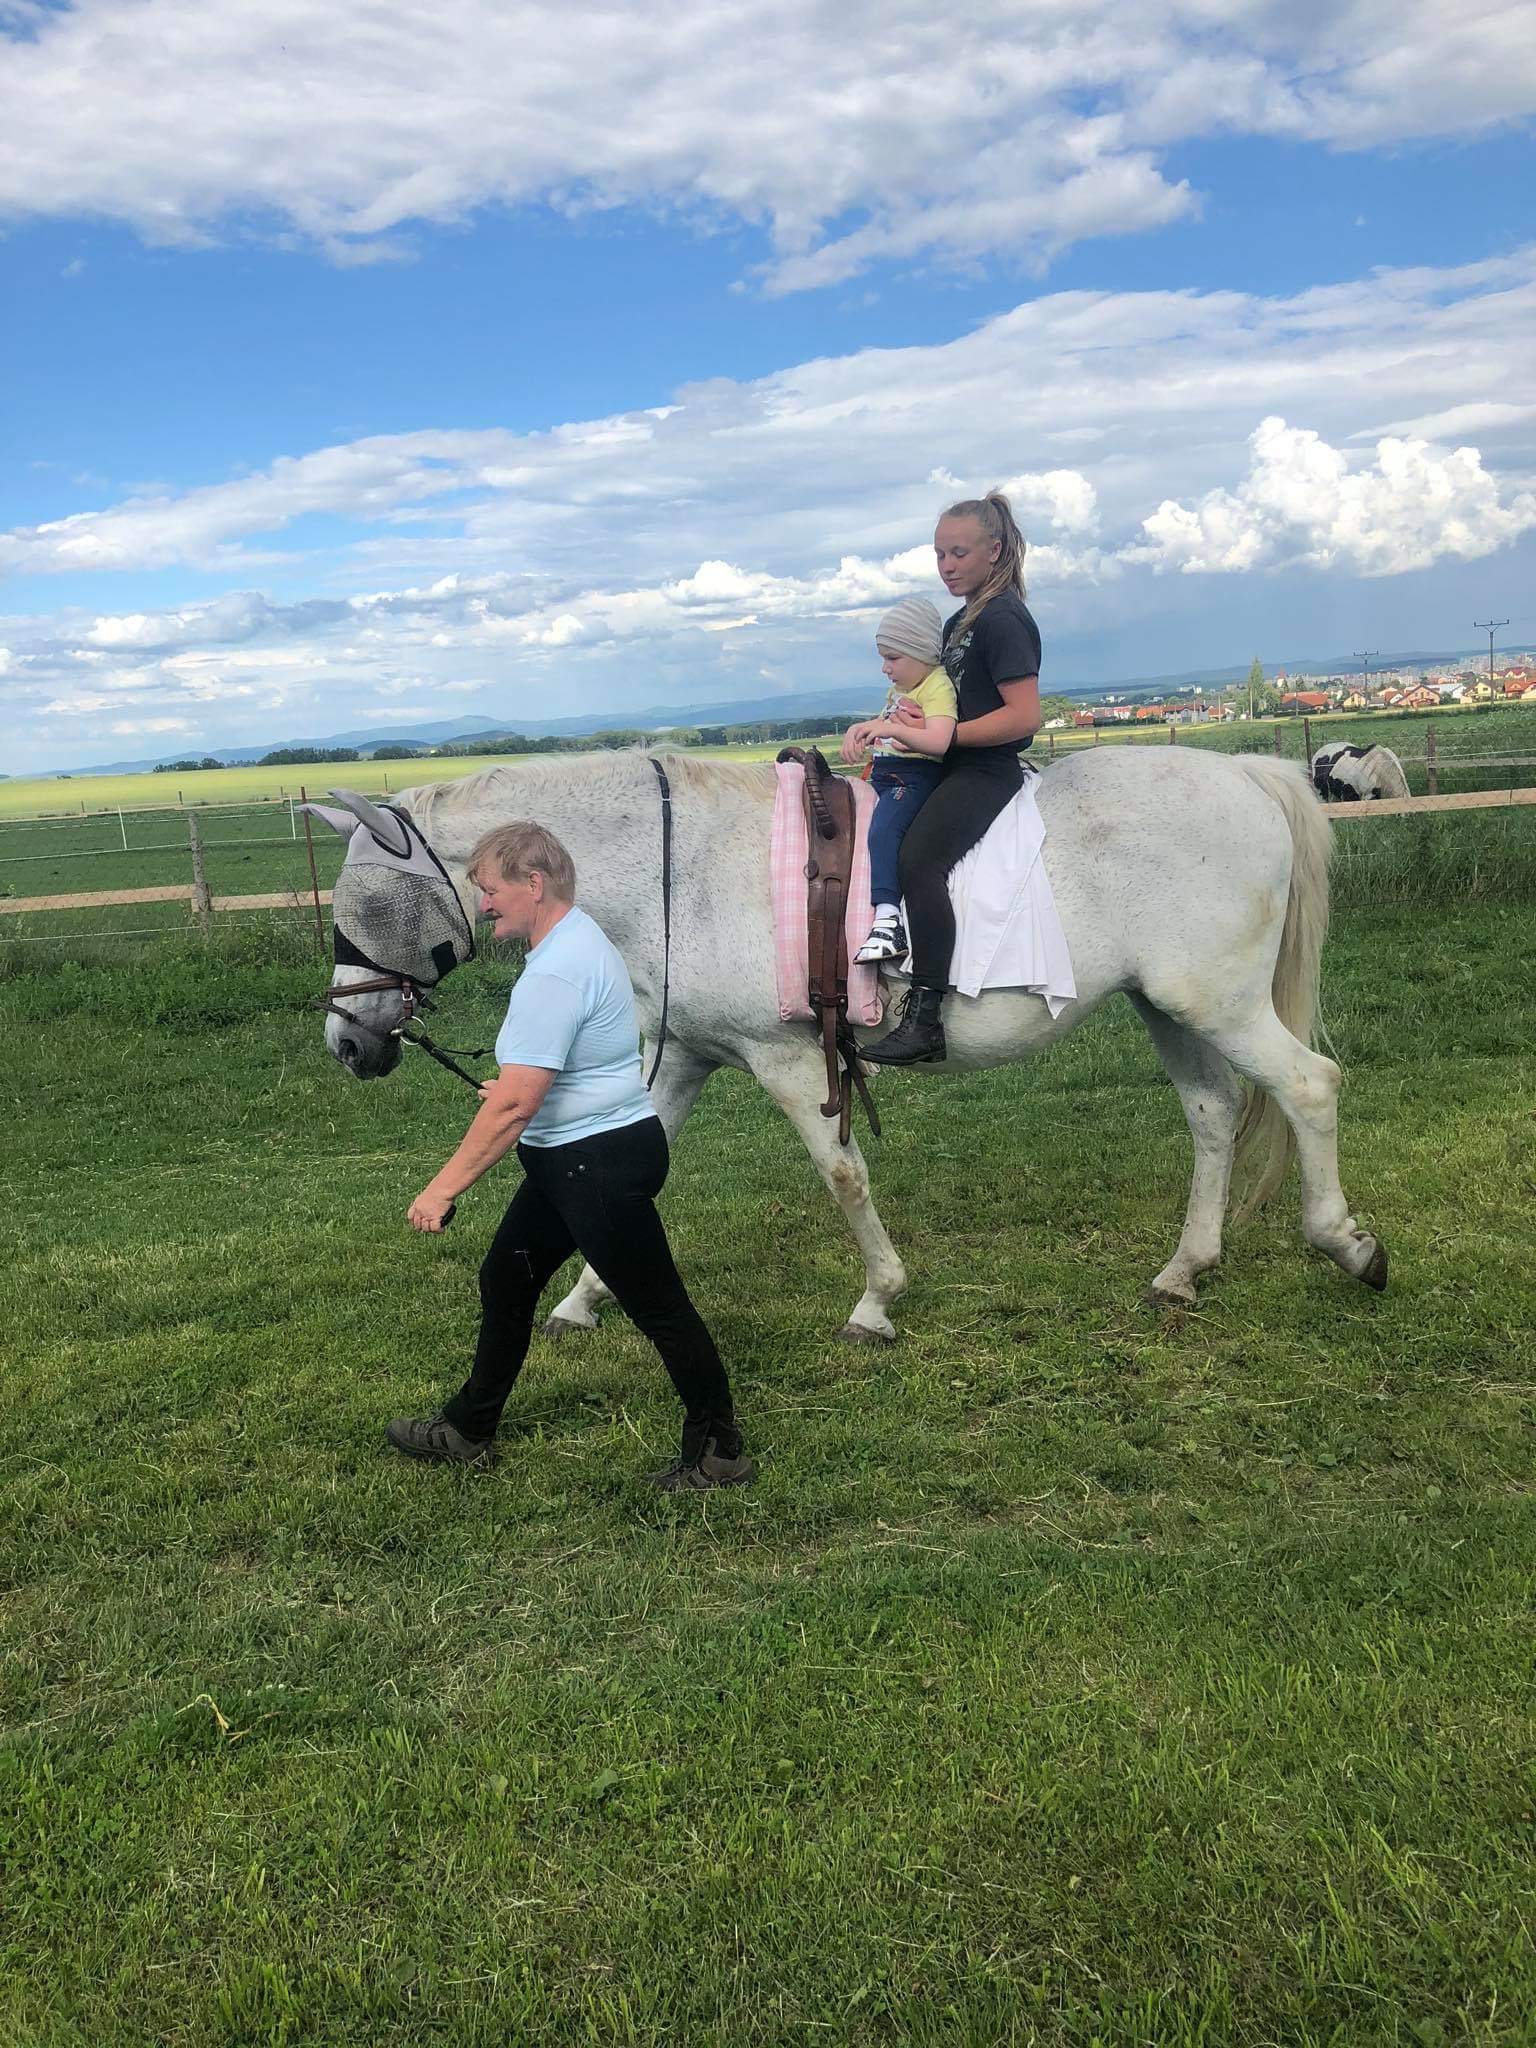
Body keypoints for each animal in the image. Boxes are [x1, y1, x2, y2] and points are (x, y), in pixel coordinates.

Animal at [311, 745, 1387, 1344]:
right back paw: (1185, 1268)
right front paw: (583, 1301)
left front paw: (878, 1299)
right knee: (1213, 1116)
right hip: (1173, 1006)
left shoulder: (788, 1060)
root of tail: (1245, 774)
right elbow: (629, 1174)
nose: (345, 1040)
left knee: (1310, 1087)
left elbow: (842, 1175)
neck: (674, 868)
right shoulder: (685, 1056)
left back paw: (1346, 1243)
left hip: (1223, 1004)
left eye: (361, 896)